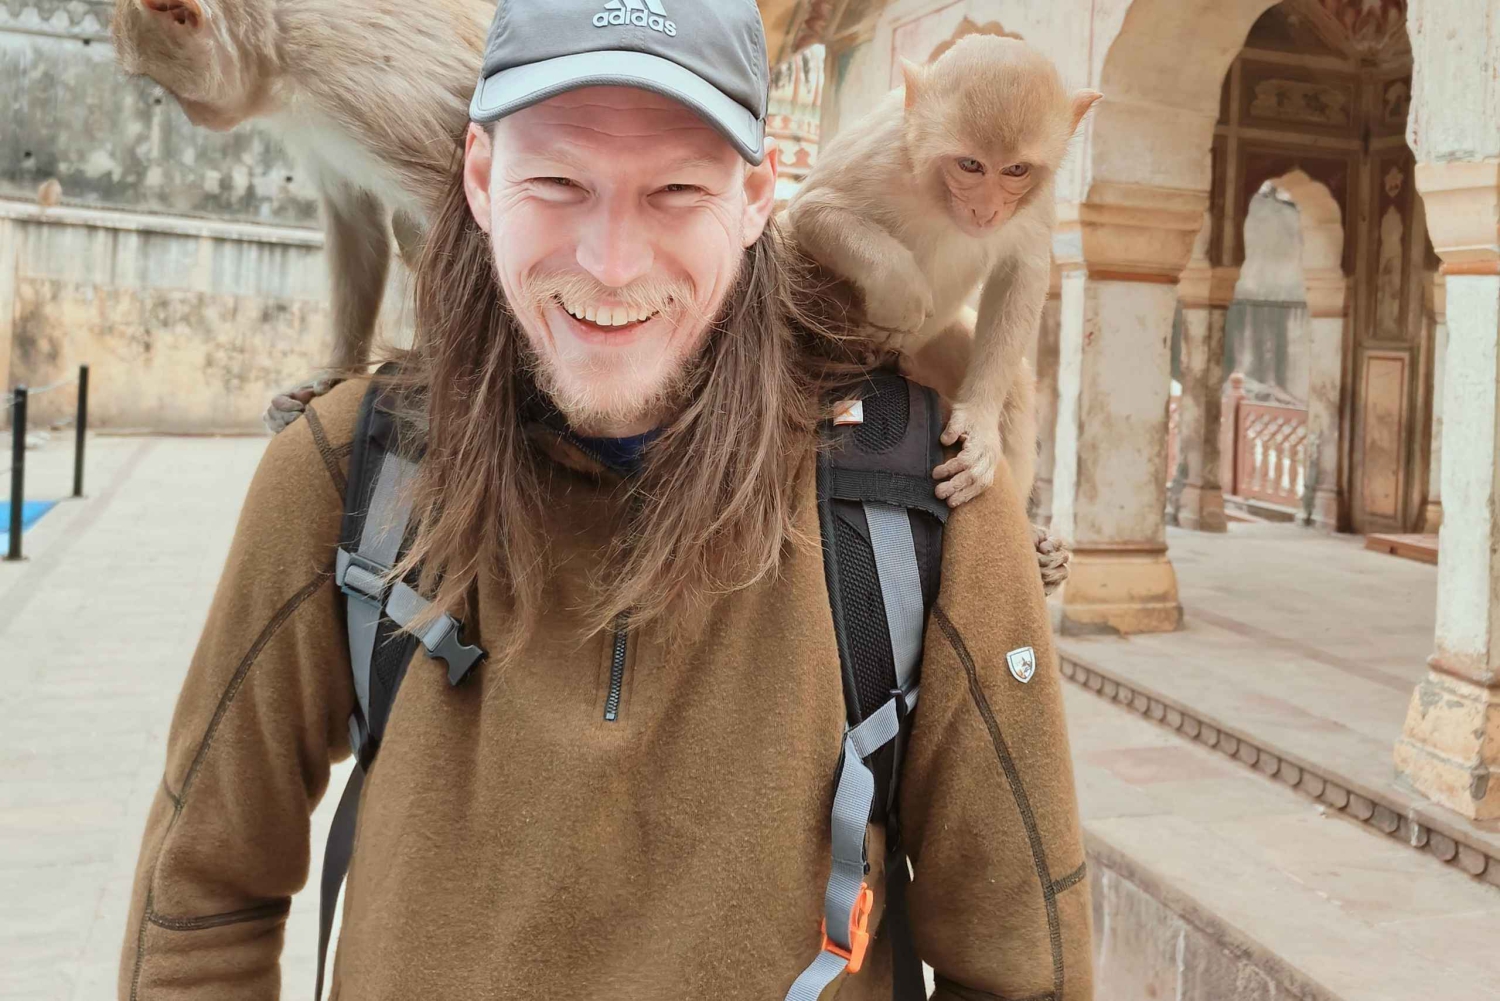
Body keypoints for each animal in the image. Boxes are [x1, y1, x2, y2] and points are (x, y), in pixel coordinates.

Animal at [111, 0, 494, 430]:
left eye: (166, 87)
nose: (193, 117)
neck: (277, 50)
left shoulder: (350, 83)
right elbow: (352, 215)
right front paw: (337, 373)